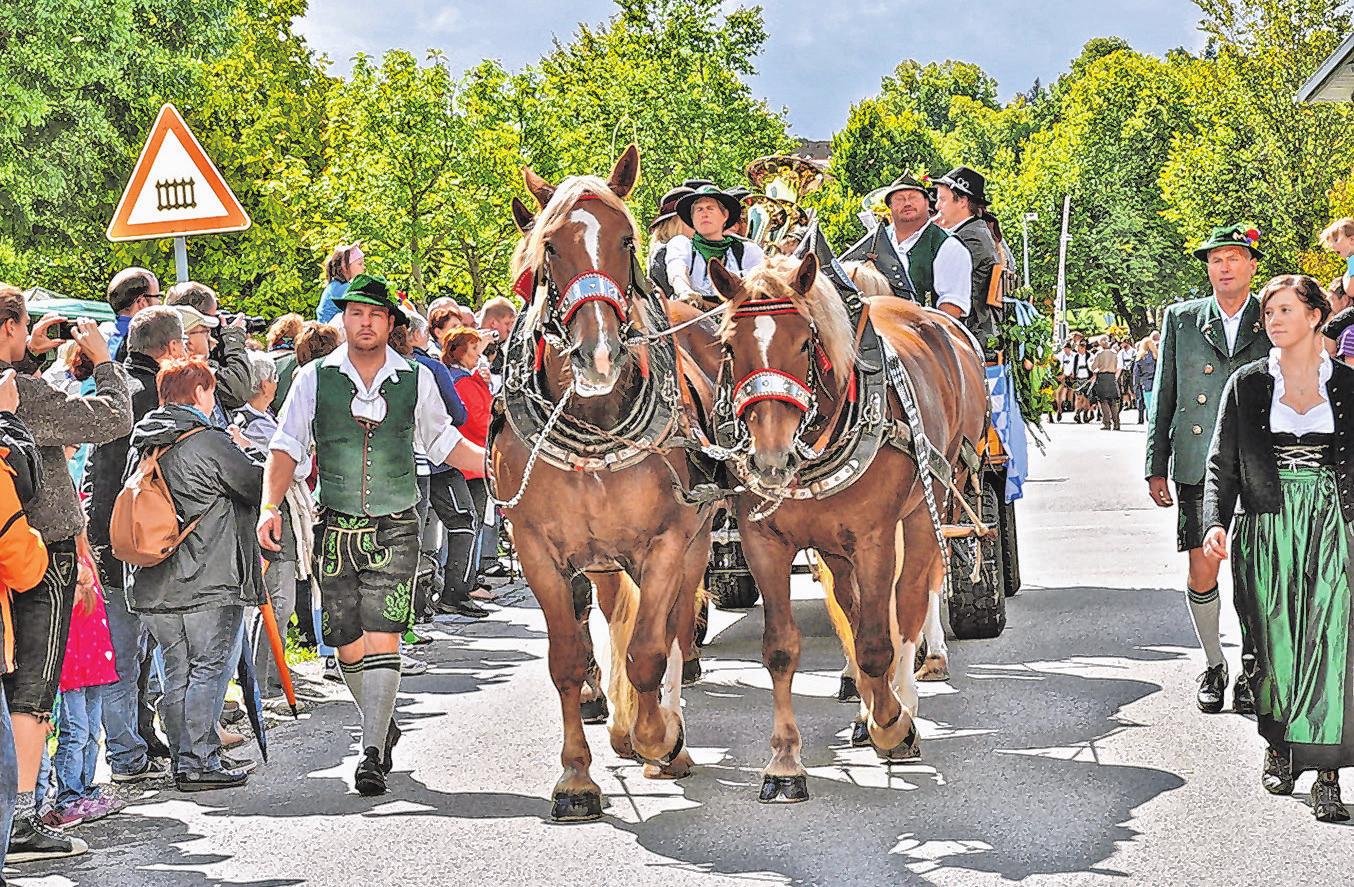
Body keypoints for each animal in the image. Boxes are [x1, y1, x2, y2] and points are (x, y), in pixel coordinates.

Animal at [492, 147, 725, 823]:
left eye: (625, 239)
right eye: (549, 248)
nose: (598, 357)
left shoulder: (668, 541)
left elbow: (648, 649)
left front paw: (656, 737)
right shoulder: (541, 550)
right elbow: (567, 660)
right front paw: (576, 778)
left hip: (696, 539)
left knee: (673, 625)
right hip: (598, 559)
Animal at [709, 253, 985, 801]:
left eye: (804, 341)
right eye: (729, 345)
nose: (770, 459)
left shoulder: (874, 538)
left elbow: (879, 643)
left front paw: (893, 724)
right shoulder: (763, 541)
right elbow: (783, 648)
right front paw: (784, 762)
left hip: (930, 505)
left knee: (913, 596)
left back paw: (908, 692)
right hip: (837, 549)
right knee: (856, 610)